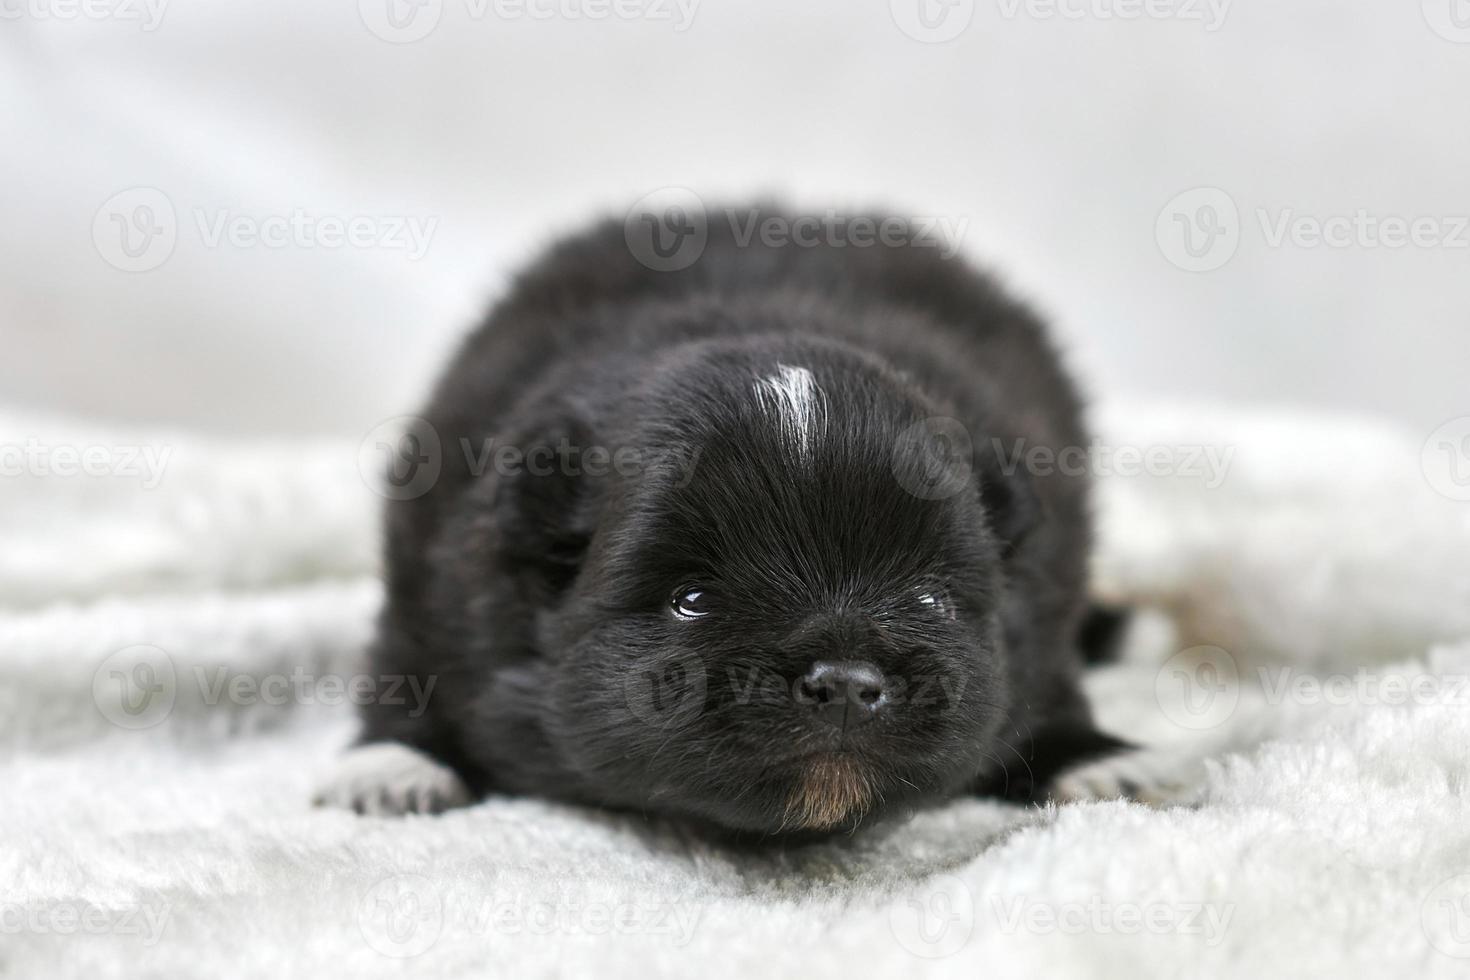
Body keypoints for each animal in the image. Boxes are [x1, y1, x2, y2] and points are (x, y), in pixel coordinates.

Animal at [316, 207, 1128, 834]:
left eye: (930, 598)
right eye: (693, 600)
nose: (845, 683)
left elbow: (1052, 683)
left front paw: (1096, 760)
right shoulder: (432, 571)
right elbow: (403, 663)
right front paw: (394, 761)